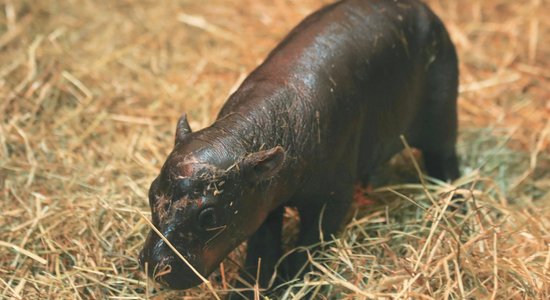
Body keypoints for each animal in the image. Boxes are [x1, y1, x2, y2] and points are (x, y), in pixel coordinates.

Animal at [138, 0, 462, 292]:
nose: (154, 266)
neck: (243, 136)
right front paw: (249, 288)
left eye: (208, 216)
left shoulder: (331, 199)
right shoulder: (263, 202)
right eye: (152, 192)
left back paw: (455, 205)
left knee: (445, 160)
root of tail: (424, 9)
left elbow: (309, 244)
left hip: (443, 118)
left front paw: (291, 285)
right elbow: (262, 247)